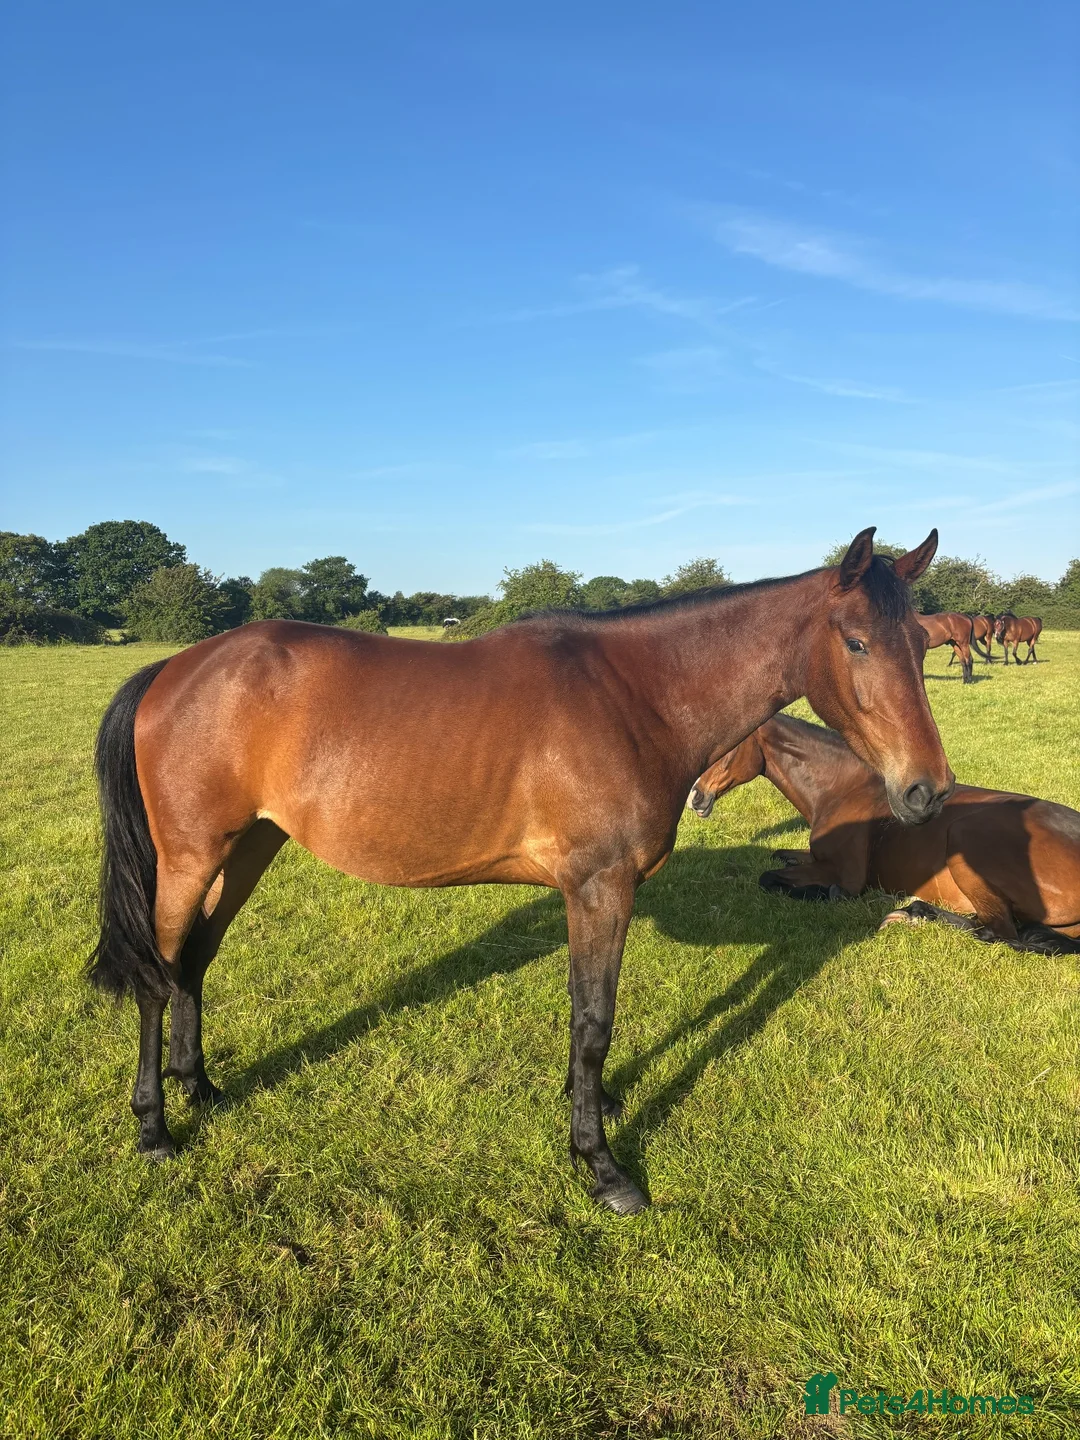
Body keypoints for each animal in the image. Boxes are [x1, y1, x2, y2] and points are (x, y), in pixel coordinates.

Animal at [89, 527, 950, 1216]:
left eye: (923, 645)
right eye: (857, 643)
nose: (928, 790)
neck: (635, 696)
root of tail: (173, 669)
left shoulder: (591, 895)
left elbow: (585, 1014)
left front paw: (591, 1107)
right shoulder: (600, 888)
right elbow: (595, 1020)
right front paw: (601, 1165)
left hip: (249, 848)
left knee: (194, 962)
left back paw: (200, 1087)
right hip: (191, 859)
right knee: (157, 974)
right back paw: (155, 1126)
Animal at [689, 714, 1080, 955]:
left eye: (728, 749)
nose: (696, 797)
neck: (843, 787)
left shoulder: (846, 875)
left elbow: (771, 878)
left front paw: (828, 894)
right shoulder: (815, 856)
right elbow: (777, 856)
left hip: (965, 836)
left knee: (998, 933)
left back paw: (911, 913)